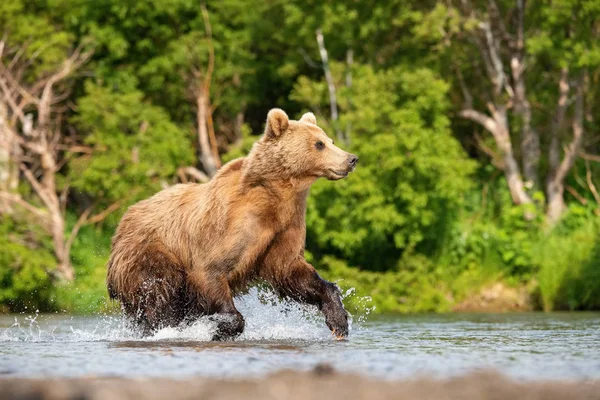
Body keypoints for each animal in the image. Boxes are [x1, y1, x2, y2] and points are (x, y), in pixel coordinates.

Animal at [106, 108, 358, 340]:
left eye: (330, 140)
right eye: (319, 144)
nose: (351, 158)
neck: (275, 199)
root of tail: (122, 222)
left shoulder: (285, 226)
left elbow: (291, 271)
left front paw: (339, 320)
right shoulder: (229, 229)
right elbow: (210, 271)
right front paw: (218, 327)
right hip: (149, 252)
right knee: (158, 291)